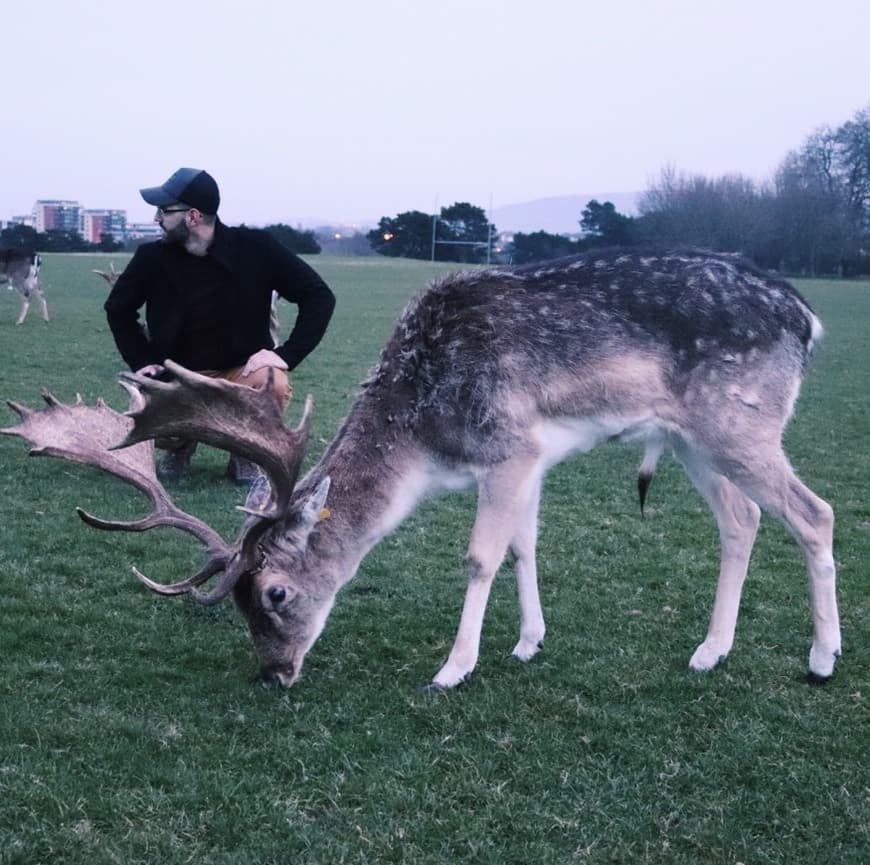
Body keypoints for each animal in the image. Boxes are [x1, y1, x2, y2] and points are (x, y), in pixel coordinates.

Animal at [3, 248, 840, 688]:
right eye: (237, 601)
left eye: (275, 591)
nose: (275, 672)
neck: (427, 444)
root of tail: (808, 318)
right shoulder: (534, 457)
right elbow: (524, 546)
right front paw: (528, 641)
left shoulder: (510, 446)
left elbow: (480, 556)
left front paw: (454, 667)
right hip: (694, 437)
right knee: (745, 518)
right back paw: (709, 650)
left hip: (738, 420)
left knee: (814, 512)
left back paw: (823, 657)